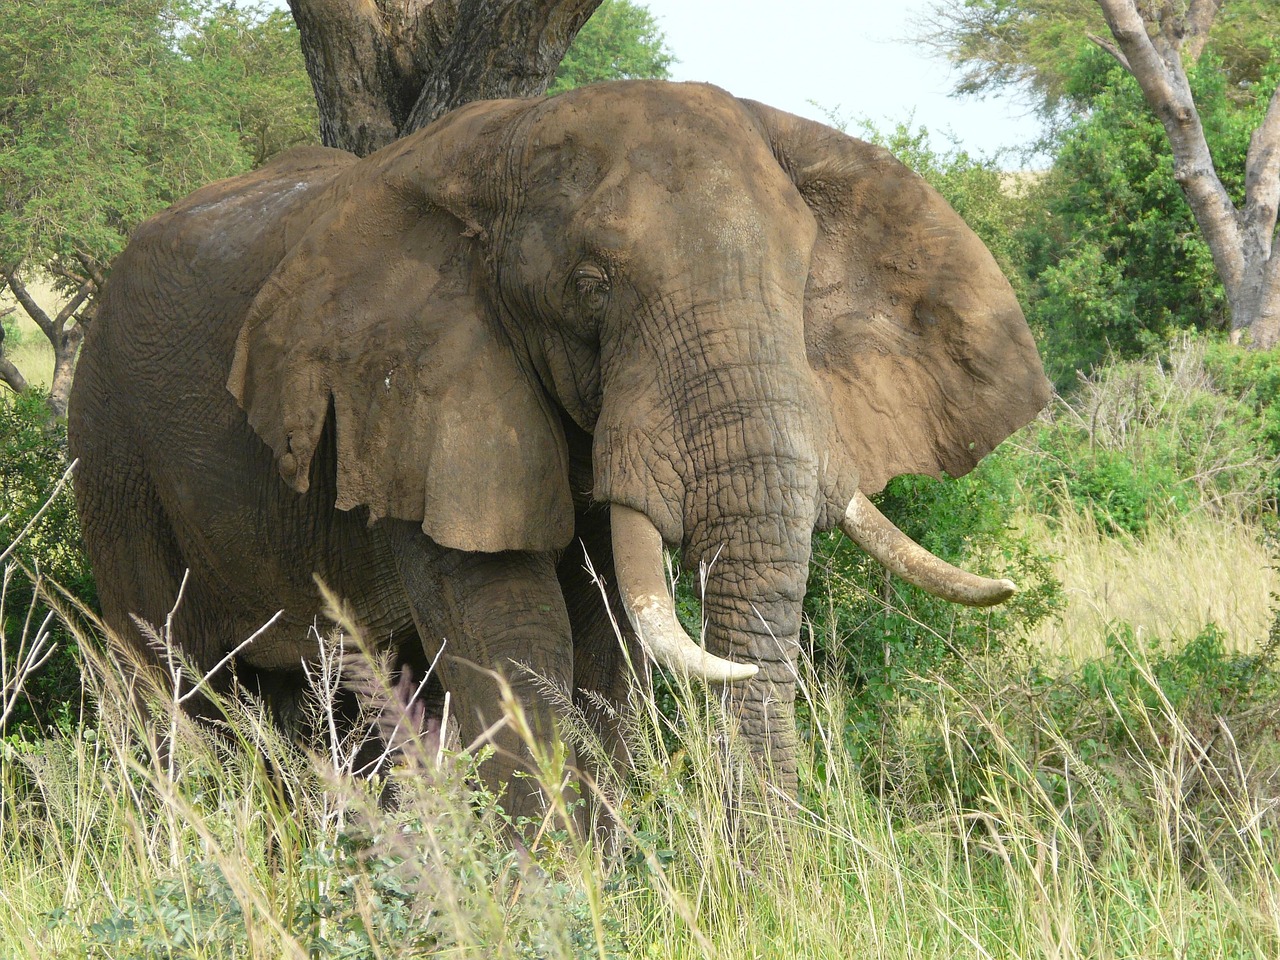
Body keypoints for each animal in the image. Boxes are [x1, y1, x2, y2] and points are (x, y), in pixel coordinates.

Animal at [68, 80, 1049, 821]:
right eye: (591, 288)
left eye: (802, 282)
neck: (510, 145)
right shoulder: (418, 403)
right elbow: (516, 649)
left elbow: (607, 652)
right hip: (110, 448)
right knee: (172, 686)